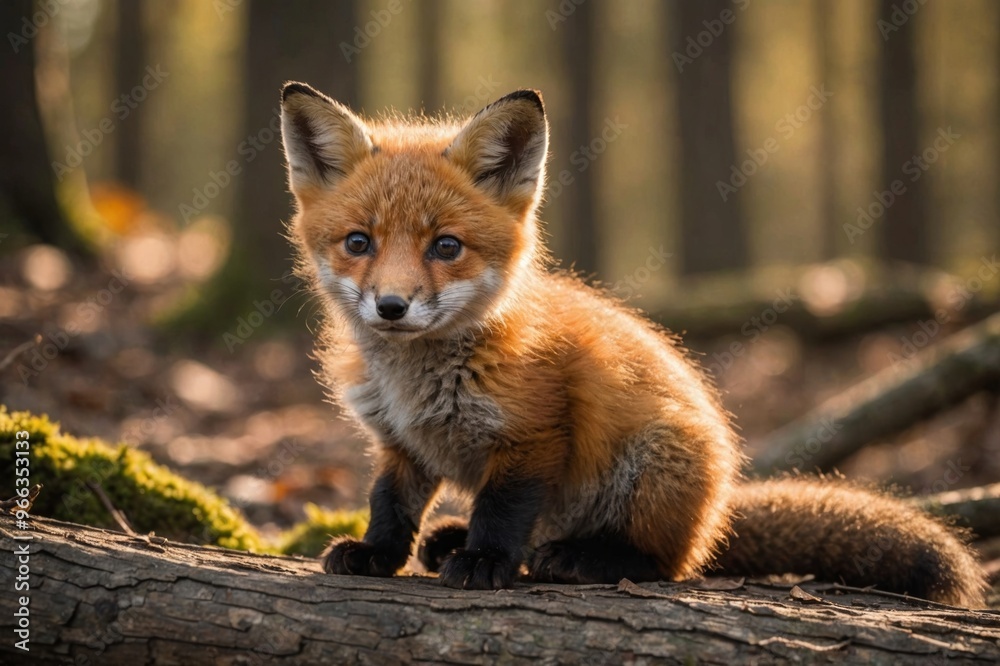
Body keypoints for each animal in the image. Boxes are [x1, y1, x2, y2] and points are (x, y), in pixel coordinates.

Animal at [278, 82, 987, 607]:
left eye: (446, 246)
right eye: (359, 242)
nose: (391, 306)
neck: (417, 382)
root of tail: (718, 510)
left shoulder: (534, 435)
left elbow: (503, 511)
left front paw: (484, 562)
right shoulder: (399, 443)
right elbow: (389, 504)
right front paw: (377, 553)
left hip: (655, 462)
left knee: (666, 564)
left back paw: (575, 558)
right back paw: (453, 539)